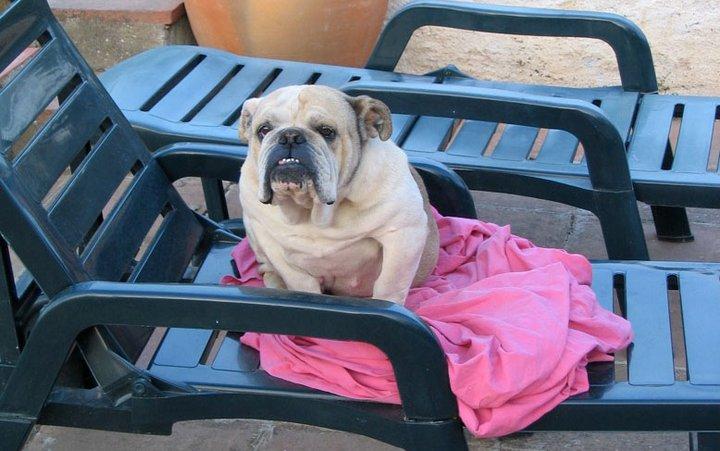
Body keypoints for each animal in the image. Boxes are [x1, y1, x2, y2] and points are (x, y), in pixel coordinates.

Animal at [238, 85, 438, 304]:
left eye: (326, 131)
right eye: (264, 130)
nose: (290, 136)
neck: (314, 211)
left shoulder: (404, 233)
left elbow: (390, 284)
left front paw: (386, 304)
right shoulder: (269, 239)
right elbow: (300, 282)